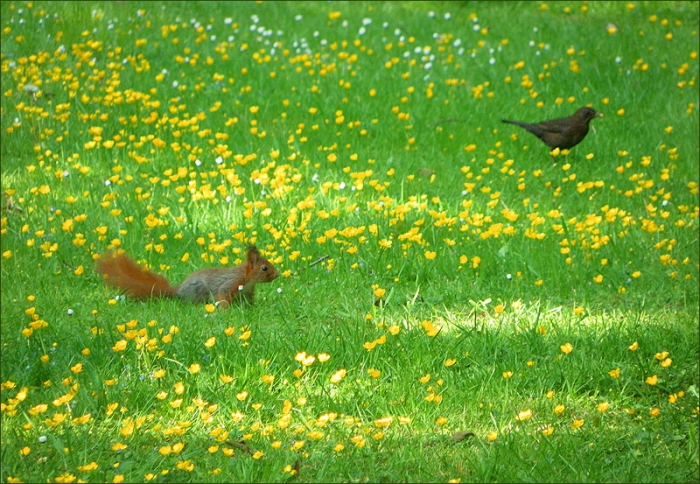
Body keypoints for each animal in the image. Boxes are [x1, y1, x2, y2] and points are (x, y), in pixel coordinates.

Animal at [96, 246, 279, 307]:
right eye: (264, 268)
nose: (277, 274)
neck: (246, 279)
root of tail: (178, 291)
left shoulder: (247, 292)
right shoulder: (231, 284)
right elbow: (222, 295)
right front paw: (225, 310)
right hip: (199, 291)